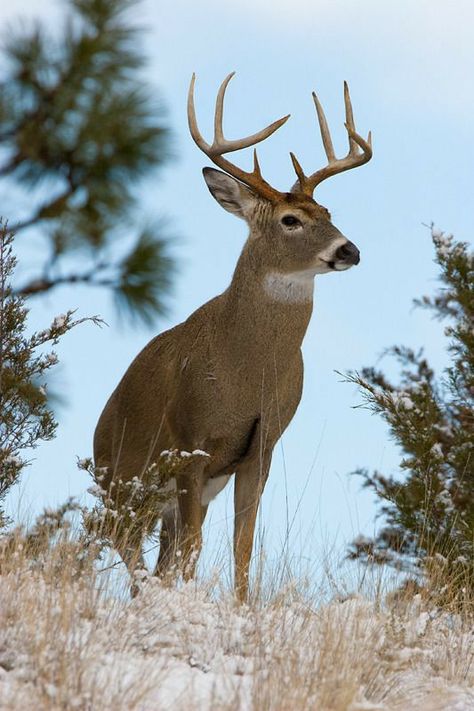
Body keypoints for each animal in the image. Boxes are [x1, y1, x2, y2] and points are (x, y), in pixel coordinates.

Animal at [92, 73, 372, 600]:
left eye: (327, 210)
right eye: (290, 220)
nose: (350, 250)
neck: (246, 371)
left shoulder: (262, 445)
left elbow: (243, 546)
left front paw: (240, 607)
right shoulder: (190, 440)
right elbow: (196, 546)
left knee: (156, 555)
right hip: (121, 483)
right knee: (127, 547)